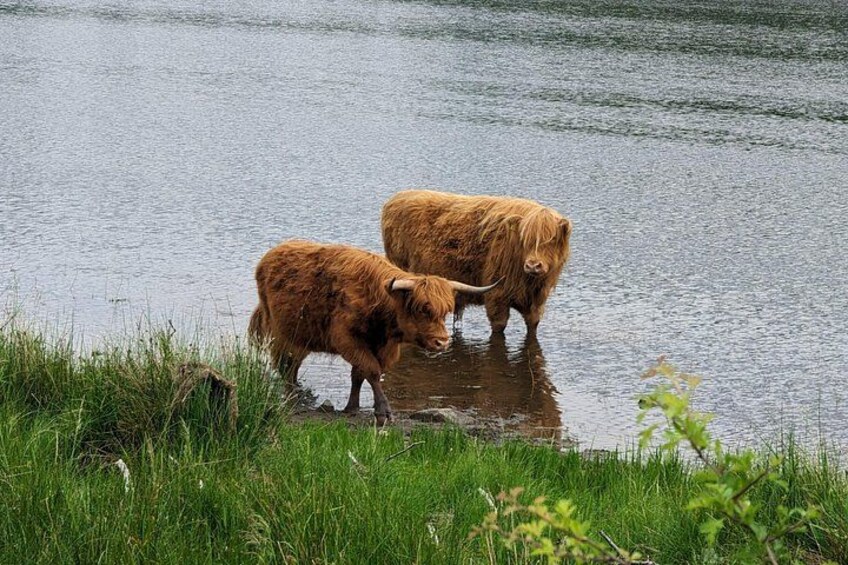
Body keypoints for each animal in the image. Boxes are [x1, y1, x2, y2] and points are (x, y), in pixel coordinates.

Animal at [248, 240, 500, 424]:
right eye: (421, 309)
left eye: (445, 311)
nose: (442, 342)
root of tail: (269, 257)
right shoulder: (348, 340)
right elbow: (372, 371)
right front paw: (383, 411)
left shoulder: (382, 347)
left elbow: (359, 374)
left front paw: (352, 407)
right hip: (284, 334)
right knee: (286, 365)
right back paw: (292, 395)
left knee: (291, 366)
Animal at [381, 190, 572, 335]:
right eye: (526, 240)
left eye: (552, 240)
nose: (533, 265)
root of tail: (396, 198)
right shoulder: (497, 298)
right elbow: (499, 326)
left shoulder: (536, 304)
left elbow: (533, 326)